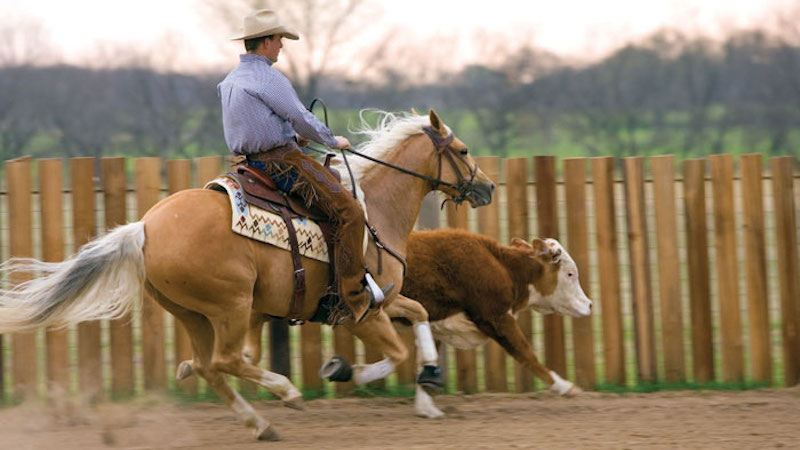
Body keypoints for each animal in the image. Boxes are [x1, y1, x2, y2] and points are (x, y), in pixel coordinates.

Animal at [0, 109, 495, 441]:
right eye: (464, 150)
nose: (487, 186)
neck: (374, 209)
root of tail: (144, 227)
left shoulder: (387, 299)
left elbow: (421, 317)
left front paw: (428, 390)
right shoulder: (363, 311)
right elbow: (394, 353)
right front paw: (344, 371)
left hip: (193, 313)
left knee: (211, 366)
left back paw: (258, 421)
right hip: (230, 305)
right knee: (223, 361)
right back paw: (286, 392)